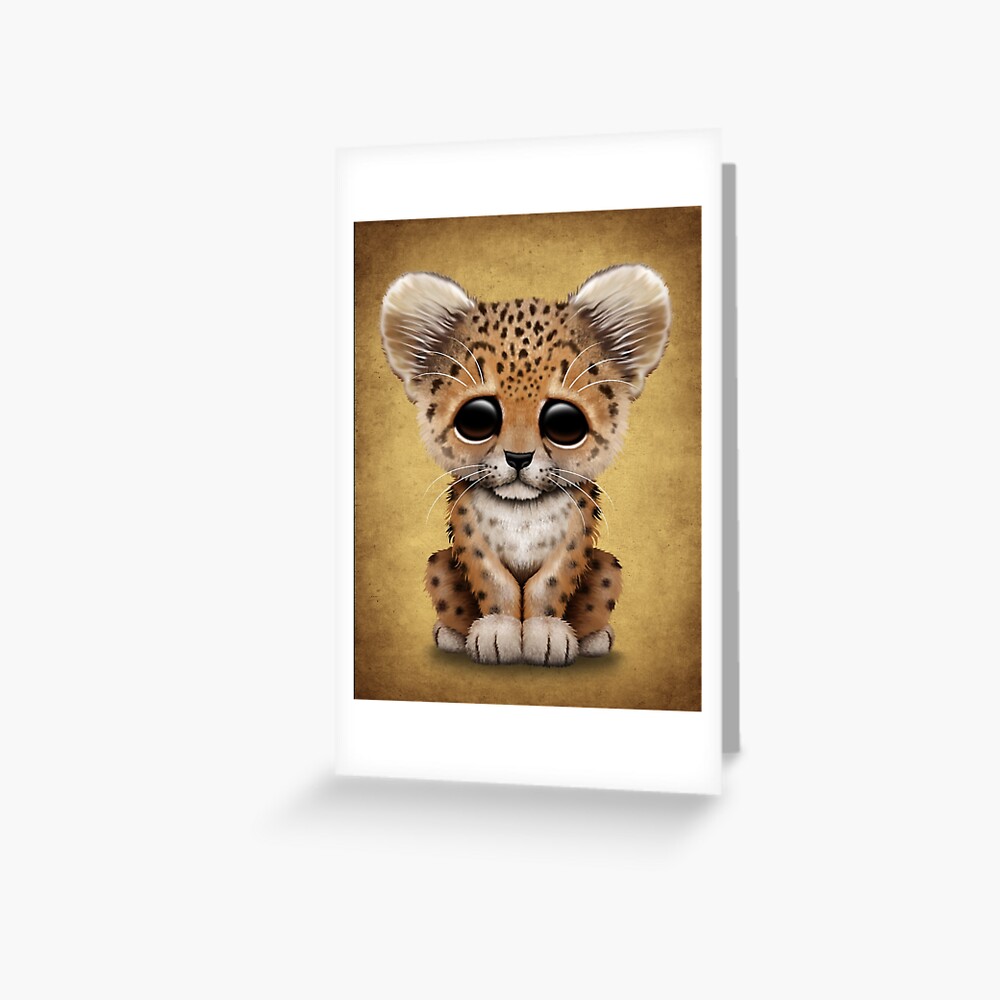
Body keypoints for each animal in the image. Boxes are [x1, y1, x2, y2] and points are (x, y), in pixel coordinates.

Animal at [380, 263, 671, 667]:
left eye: (564, 422)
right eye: (476, 418)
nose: (518, 458)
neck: (522, 512)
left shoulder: (575, 538)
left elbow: (547, 585)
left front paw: (544, 633)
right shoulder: (470, 537)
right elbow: (495, 582)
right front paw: (497, 631)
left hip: (607, 566)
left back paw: (595, 639)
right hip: (438, 563)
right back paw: (452, 636)